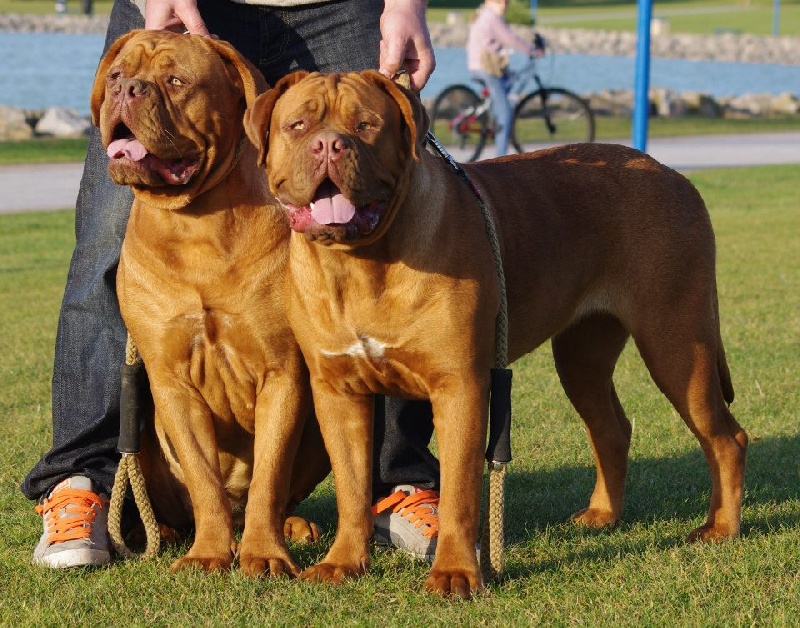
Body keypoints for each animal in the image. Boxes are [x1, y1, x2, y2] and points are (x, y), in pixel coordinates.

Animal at [92, 31, 330, 576]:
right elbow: (203, 479)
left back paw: (290, 526)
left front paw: (265, 554)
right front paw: (208, 554)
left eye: (176, 81)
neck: (195, 223)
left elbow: (269, 475)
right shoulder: (171, 381)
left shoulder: (282, 372)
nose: (126, 89)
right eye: (117, 74)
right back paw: (163, 533)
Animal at [242, 71, 744, 596]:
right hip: (582, 357)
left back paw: (721, 527)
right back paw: (603, 514)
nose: (329, 145)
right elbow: (352, 487)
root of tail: (672, 174)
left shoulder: (460, 386)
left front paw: (455, 573)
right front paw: (343, 562)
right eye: (298, 125)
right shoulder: (338, 393)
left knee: (726, 437)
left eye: (366, 125)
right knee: (612, 428)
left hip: (678, 345)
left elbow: (461, 491)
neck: (362, 263)